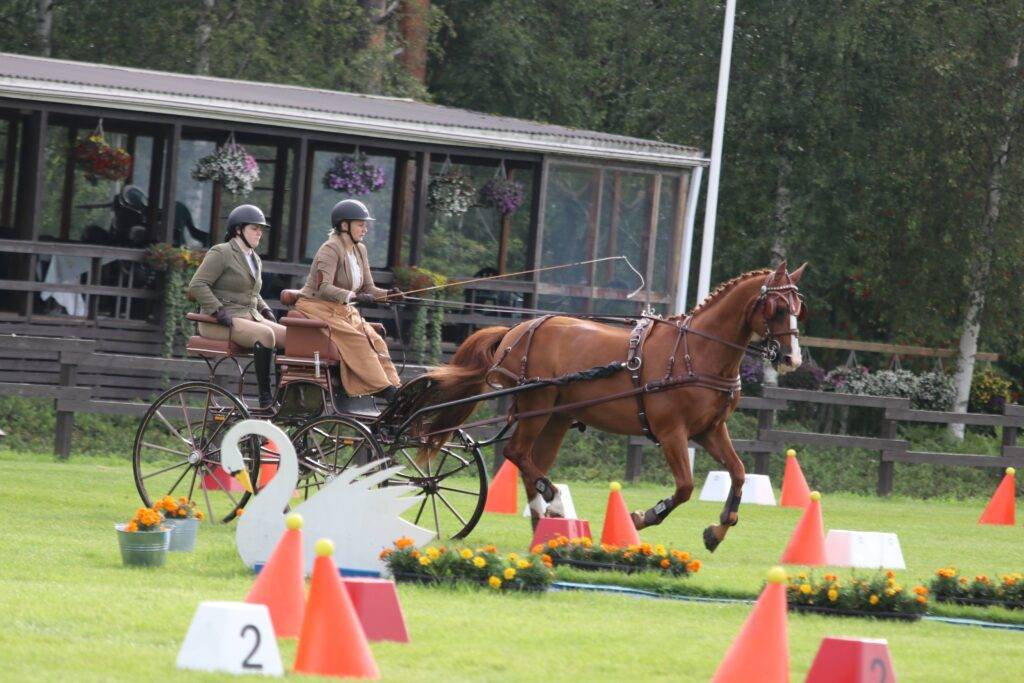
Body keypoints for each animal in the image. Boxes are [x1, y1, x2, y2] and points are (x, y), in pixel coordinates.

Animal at [411, 262, 802, 548]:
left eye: (800, 307)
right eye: (778, 307)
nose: (791, 359)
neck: (698, 351)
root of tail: (516, 330)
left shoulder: (710, 430)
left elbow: (738, 473)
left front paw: (717, 530)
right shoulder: (671, 432)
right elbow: (685, 487)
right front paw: (642, 517)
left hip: (554, 417)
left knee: (530, 463)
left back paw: (544, 525)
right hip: (537, 404)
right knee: (516, 453)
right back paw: (554, 501)